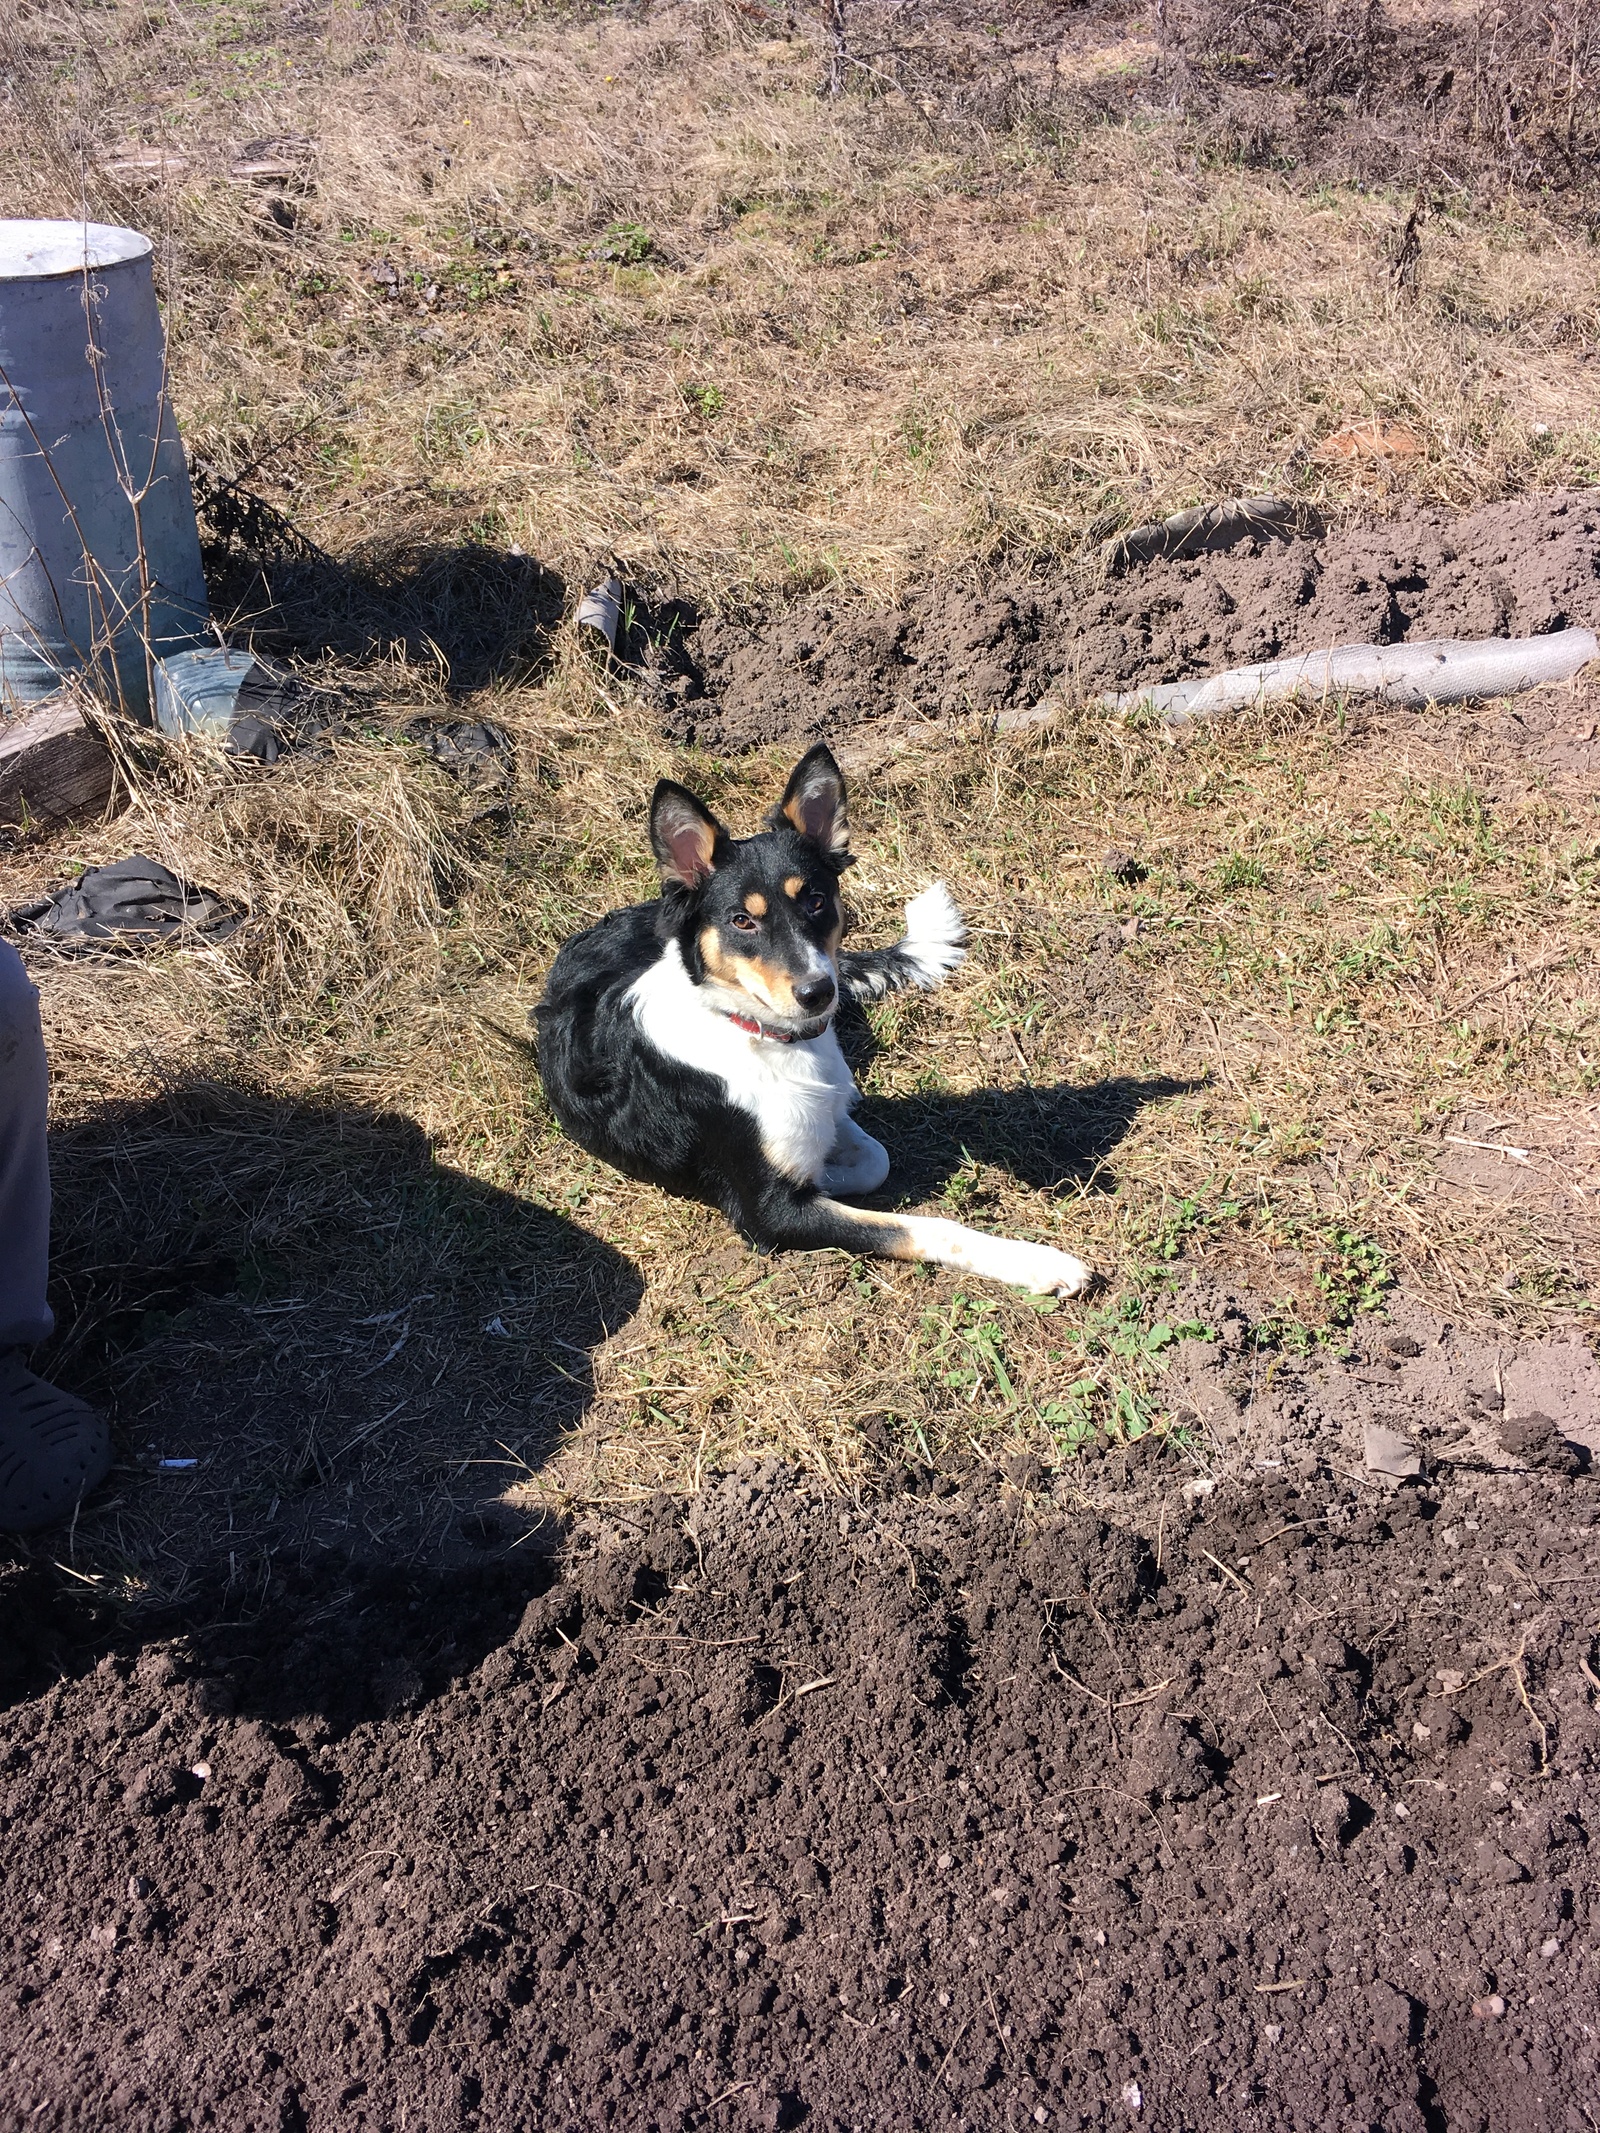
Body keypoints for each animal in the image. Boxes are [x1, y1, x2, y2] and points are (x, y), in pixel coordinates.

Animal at [533, 742, 1100, 1288]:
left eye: (817, 901)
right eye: (742, 921)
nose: (818, 993)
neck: (758, 1033)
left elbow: (875, 1159)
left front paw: (830, 1170)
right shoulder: (769, 1213)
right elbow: (920, 1226)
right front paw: (1035, 1262)